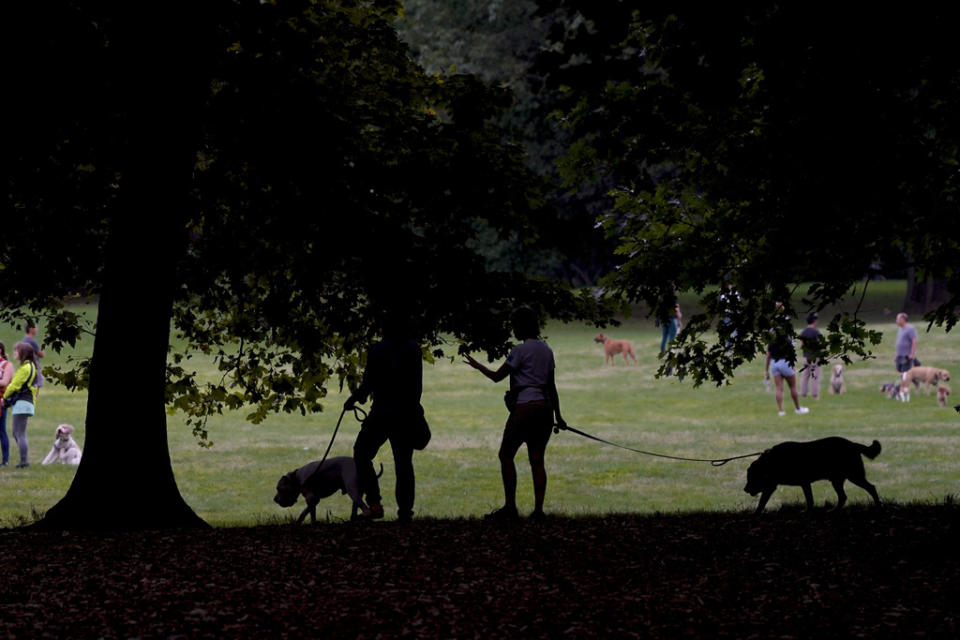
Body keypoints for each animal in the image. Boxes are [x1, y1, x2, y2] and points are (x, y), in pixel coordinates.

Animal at [744, 436, 884, 516]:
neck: (771, 461)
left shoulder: (804, 483)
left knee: (871, 487)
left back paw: (878, 506)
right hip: (837, 480)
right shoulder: (771, 486)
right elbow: (762, 502)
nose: (745, 489)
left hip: (854, 476)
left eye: (751, 478)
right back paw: (834, 511)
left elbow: (810, 500)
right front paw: (756, 513)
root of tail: (853, 444)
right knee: (843, 497)